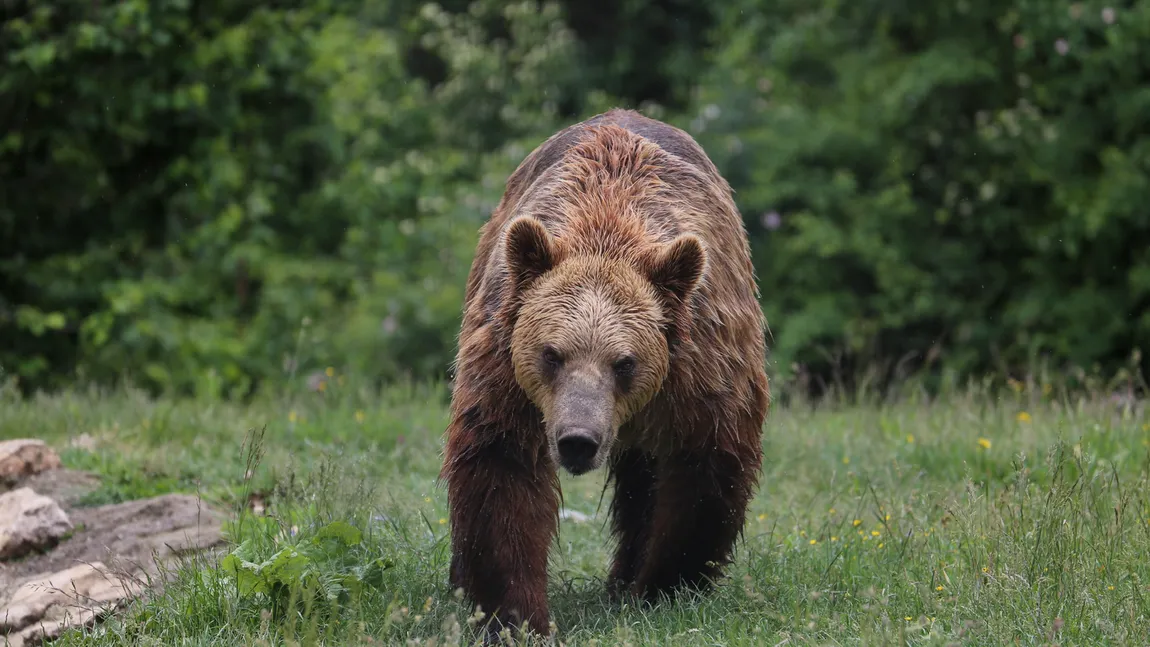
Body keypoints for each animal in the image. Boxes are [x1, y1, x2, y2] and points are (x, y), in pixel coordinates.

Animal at [439, 108, 772, 638]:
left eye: (625, 362)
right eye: (551, 354)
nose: (579, 440)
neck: (607, 223)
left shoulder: (702, 361)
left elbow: (704, 464)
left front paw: (663, 587)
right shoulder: (505, 362)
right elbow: (501, 464)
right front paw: (518, 615)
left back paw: (624, 579)